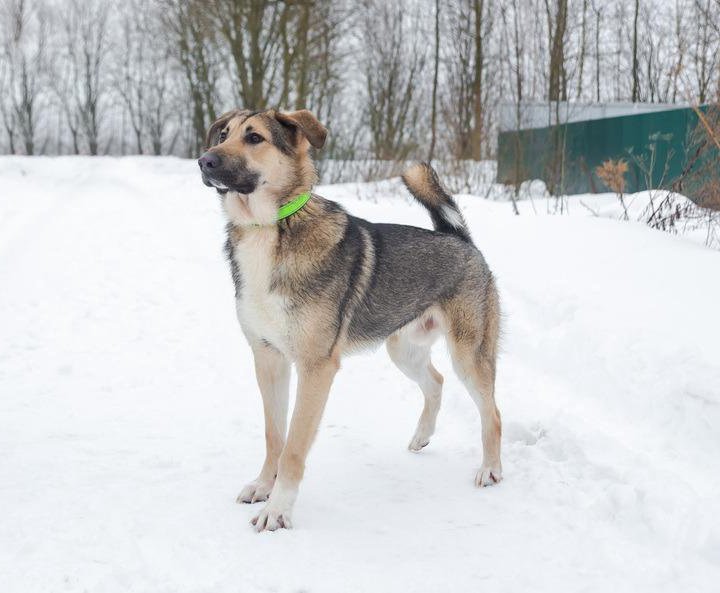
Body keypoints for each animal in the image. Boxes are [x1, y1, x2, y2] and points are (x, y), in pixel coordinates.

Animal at [197, 108, 500, 528]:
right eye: (223, 134)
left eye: (254, 138)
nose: (203, 161)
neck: (269, 229)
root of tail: (459, 238)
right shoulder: (268, 358)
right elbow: (274, 436)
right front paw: (263, 486)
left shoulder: (315, 367)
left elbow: (294, 446)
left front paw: (278, 509)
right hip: (403, 350)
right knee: (436, 382)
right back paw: (421, 436)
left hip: (469, 354)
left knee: (492, 413)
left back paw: (490, 469)